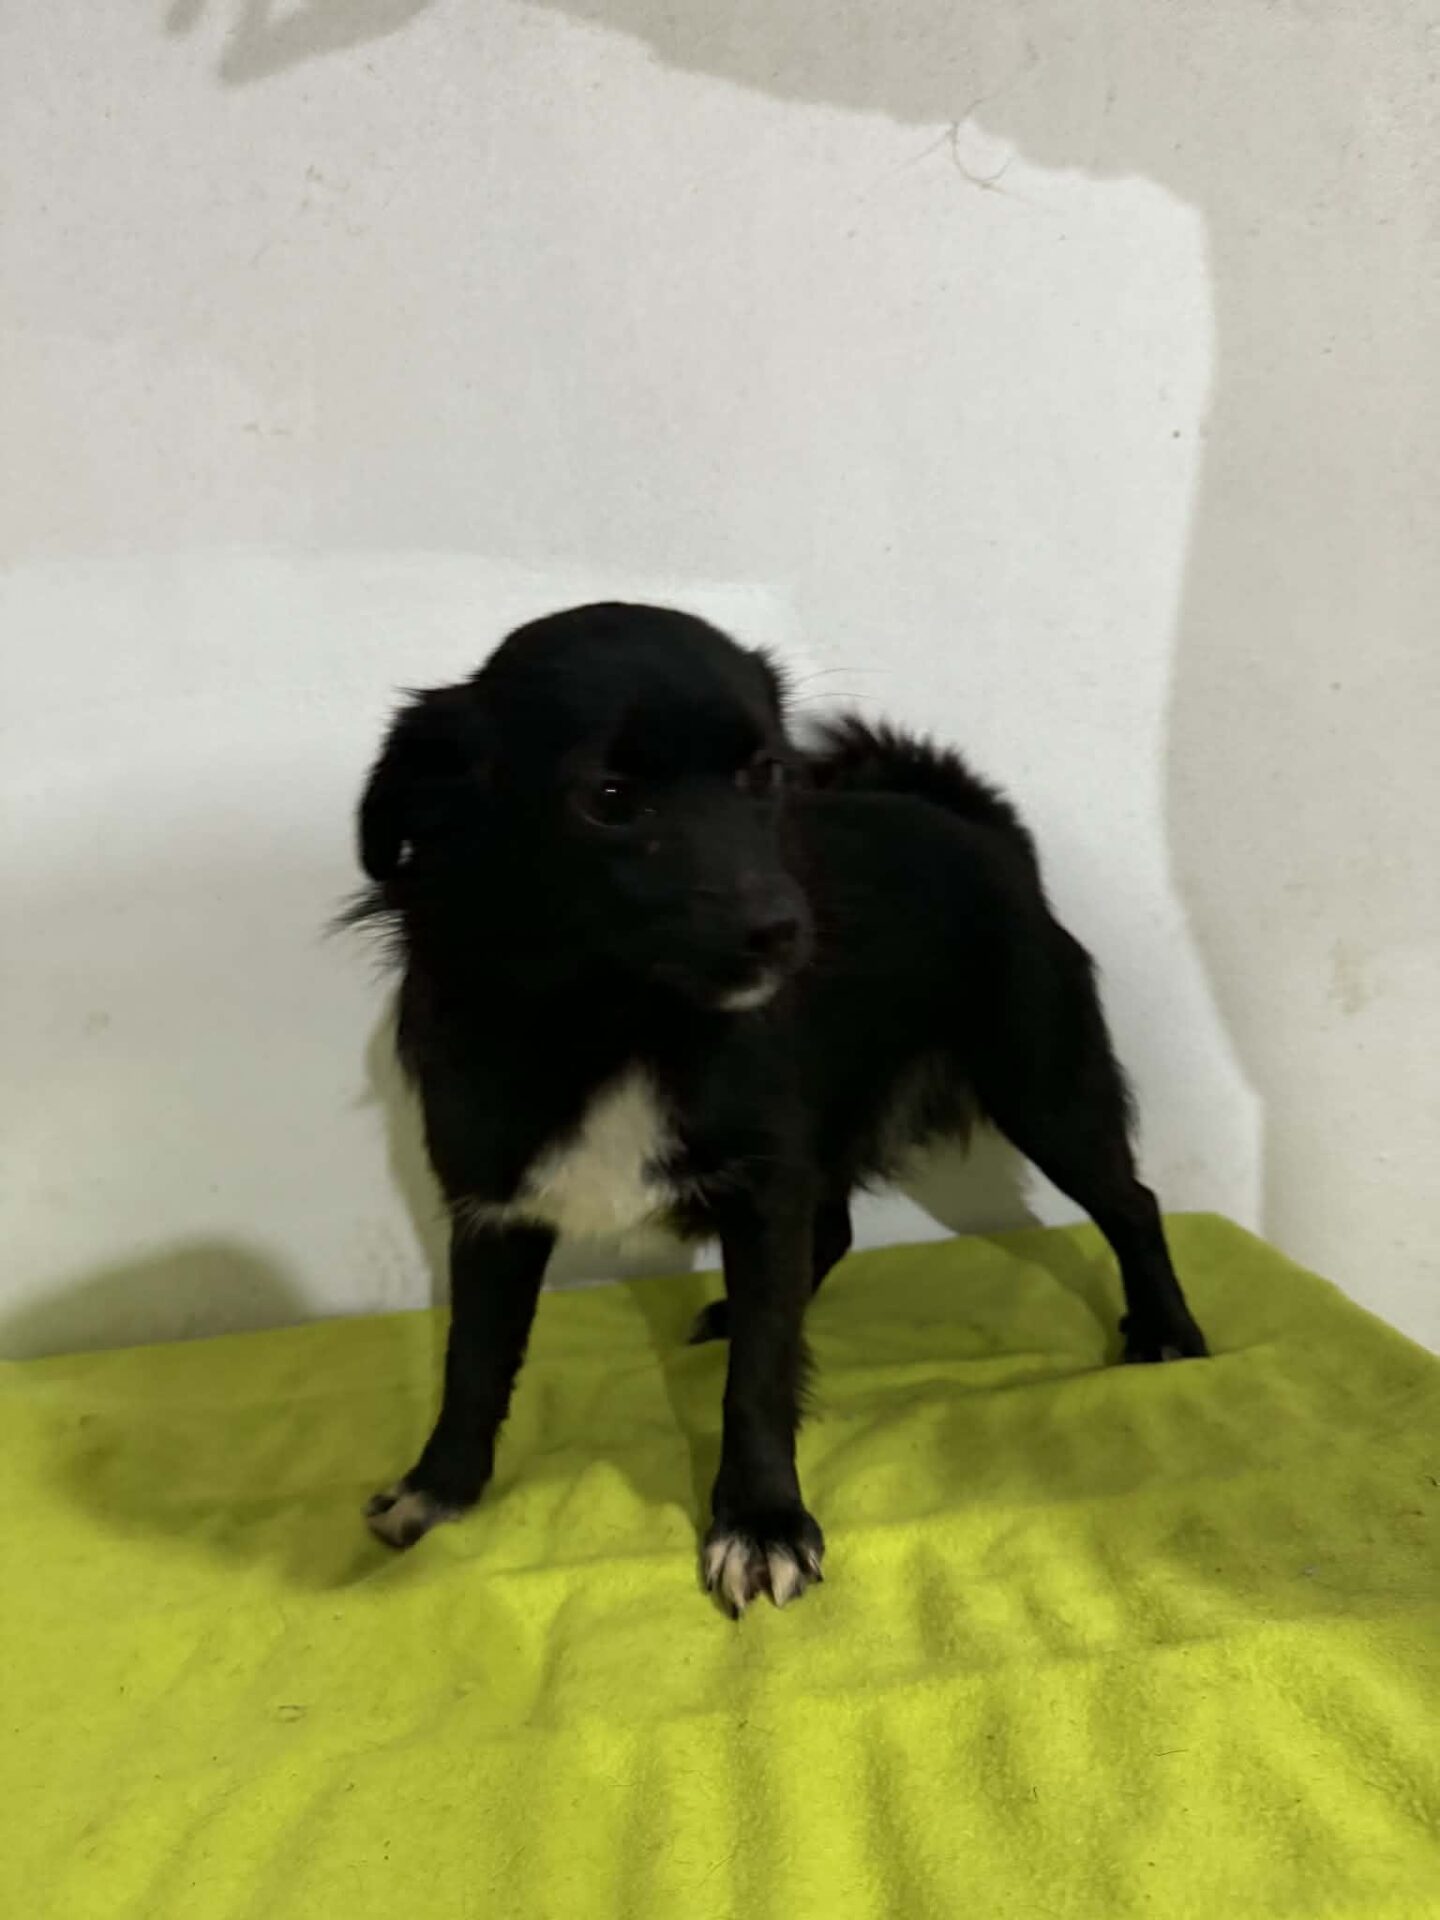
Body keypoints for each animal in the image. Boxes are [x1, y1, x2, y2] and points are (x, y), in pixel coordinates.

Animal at [348, 601, 1208, 1615]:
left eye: (763, 775)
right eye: (608, 797)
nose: (785, 932)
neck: (626, 1021)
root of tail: (974, 821)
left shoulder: (761, 1185)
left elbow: (757, 1378)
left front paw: (761, 1523)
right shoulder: (495, 1203)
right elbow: (473, 1360)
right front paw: (439, 1487)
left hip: (1043, 1085)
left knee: (1131, 1202)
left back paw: (1169, 1332)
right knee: (830, 1232)